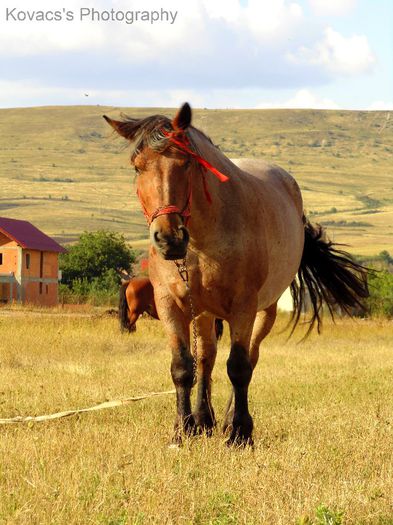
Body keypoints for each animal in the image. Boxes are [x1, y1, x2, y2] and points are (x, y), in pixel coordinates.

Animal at [104, 103, 368, 446]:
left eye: (186, 163)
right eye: (138, 167)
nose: (169, 238)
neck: (201, 243)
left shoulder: (243, 307)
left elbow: (239, 367)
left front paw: (239, 431)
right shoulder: (170, 305)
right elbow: (183, 367)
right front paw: (183, 428)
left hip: (264, 310)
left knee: (249, 358)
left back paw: (229, 420)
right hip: (204, 313)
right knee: (206, 358)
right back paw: (204, 419)